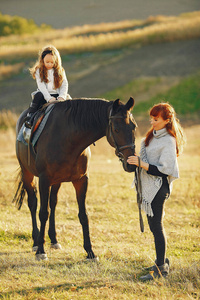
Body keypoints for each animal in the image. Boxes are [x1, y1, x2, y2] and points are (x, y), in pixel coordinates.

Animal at [13, 96, 137, 260]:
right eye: (116, 129)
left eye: (134, 127)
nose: (131, 164)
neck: (68, 138)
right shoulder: (44, 180)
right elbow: (43, 213)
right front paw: (41, 250)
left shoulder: (81, 180)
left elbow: (83, 215)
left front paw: (90, 252)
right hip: (27, 173)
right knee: (33, 204)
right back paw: (35, 242)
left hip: (56, 181)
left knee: (53, 203)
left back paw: (54, 240)